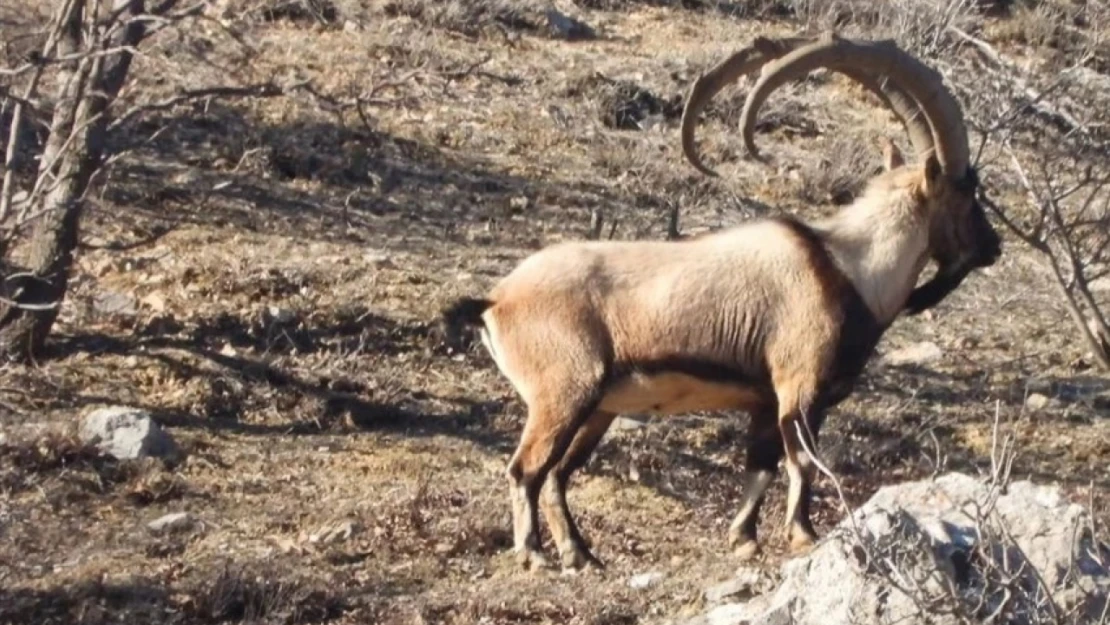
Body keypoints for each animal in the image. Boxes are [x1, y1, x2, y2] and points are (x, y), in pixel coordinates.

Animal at [441, 33, 1007, 572]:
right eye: (967, 192)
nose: (993, 247)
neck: (850, 269)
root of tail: (496, 300)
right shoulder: (798, 390)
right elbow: (802, 462)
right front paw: (802, 534)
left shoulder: (764, 401)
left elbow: (760, 466)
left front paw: (743, 538)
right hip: (563, 393)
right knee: (526, 469)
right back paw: (534, 553)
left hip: (596, 409)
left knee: (558, 473)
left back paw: (580, 554)